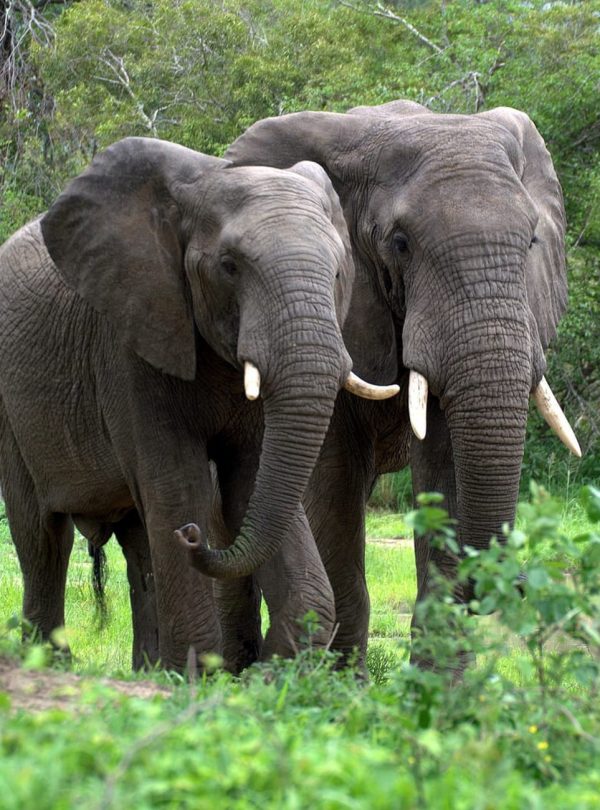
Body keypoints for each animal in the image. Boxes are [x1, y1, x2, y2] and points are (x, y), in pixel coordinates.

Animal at [0, 136, 398, 668]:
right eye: (229, 266)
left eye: (338, 274)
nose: (193, 534)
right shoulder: (130, 342)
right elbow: (176, 483)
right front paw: (202, 677)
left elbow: (252, 482)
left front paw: (272, 672)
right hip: (11, 408)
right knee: (43, 537)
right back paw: (52, 664)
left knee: (137, 542)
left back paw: (148, 671)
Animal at [184, 99, 580, 668]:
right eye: (400, 243)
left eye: (530, 241)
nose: (520, 582)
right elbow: (333, 485)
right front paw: (338, 683)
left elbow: (444, 466)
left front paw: (437, 683)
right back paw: (234, 670)